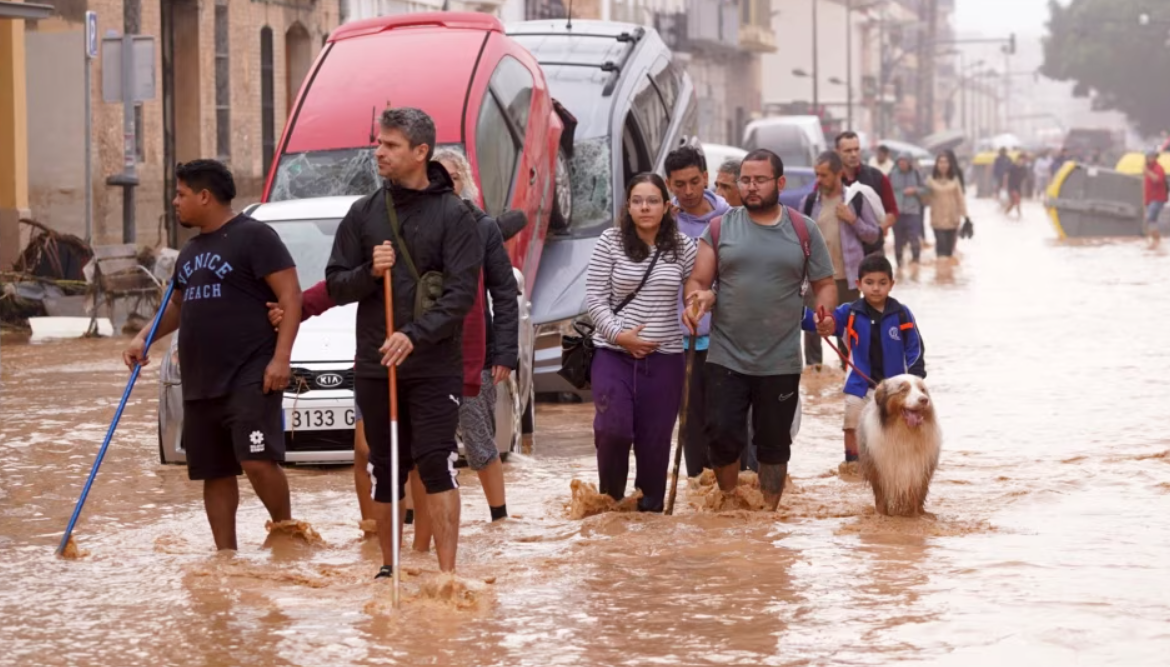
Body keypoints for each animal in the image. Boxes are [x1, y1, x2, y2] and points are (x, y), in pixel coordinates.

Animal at [861, 374, 940, 514]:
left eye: (922, 390)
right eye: (904, 390)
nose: (924, 400)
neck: (905, 432)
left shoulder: (920, 473)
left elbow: (916, 499)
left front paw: (917, 515)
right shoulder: (878, 470)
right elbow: (881, 499)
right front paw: (882, 515)